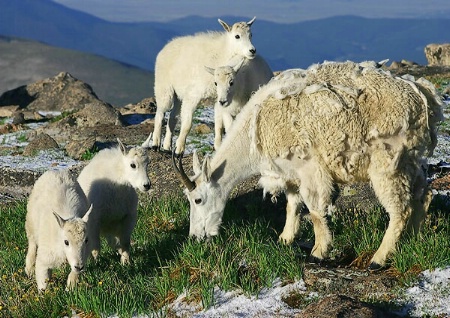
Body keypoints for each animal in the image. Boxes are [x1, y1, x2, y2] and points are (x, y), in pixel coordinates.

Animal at [149, 16, 256, 155]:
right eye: (237, 36)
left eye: (251, 34)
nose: (252, 51)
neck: (222, 54)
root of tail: (165, 48)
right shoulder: (194, 94)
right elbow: (187, 124)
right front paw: (179, 150)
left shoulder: (219, 97)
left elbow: (219, 122)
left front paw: (217, 146)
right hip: (164, 88)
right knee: (160, 113)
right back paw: (156, 144)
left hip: (178, 95)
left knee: (172, 117)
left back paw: (167, 147)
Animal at [174, 60, 444, 270]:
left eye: (198, 199)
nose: (196, 237)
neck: (254, 130)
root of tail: (423, 97)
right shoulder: (291, 171)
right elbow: (292, 204)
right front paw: (285, 238)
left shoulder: (309, 167)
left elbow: (315, 209)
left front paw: (318, 252)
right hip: (409, 159)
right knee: (424, 194)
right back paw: (414, 238)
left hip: (386, 161)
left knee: (400, 208)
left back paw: (379, 259)